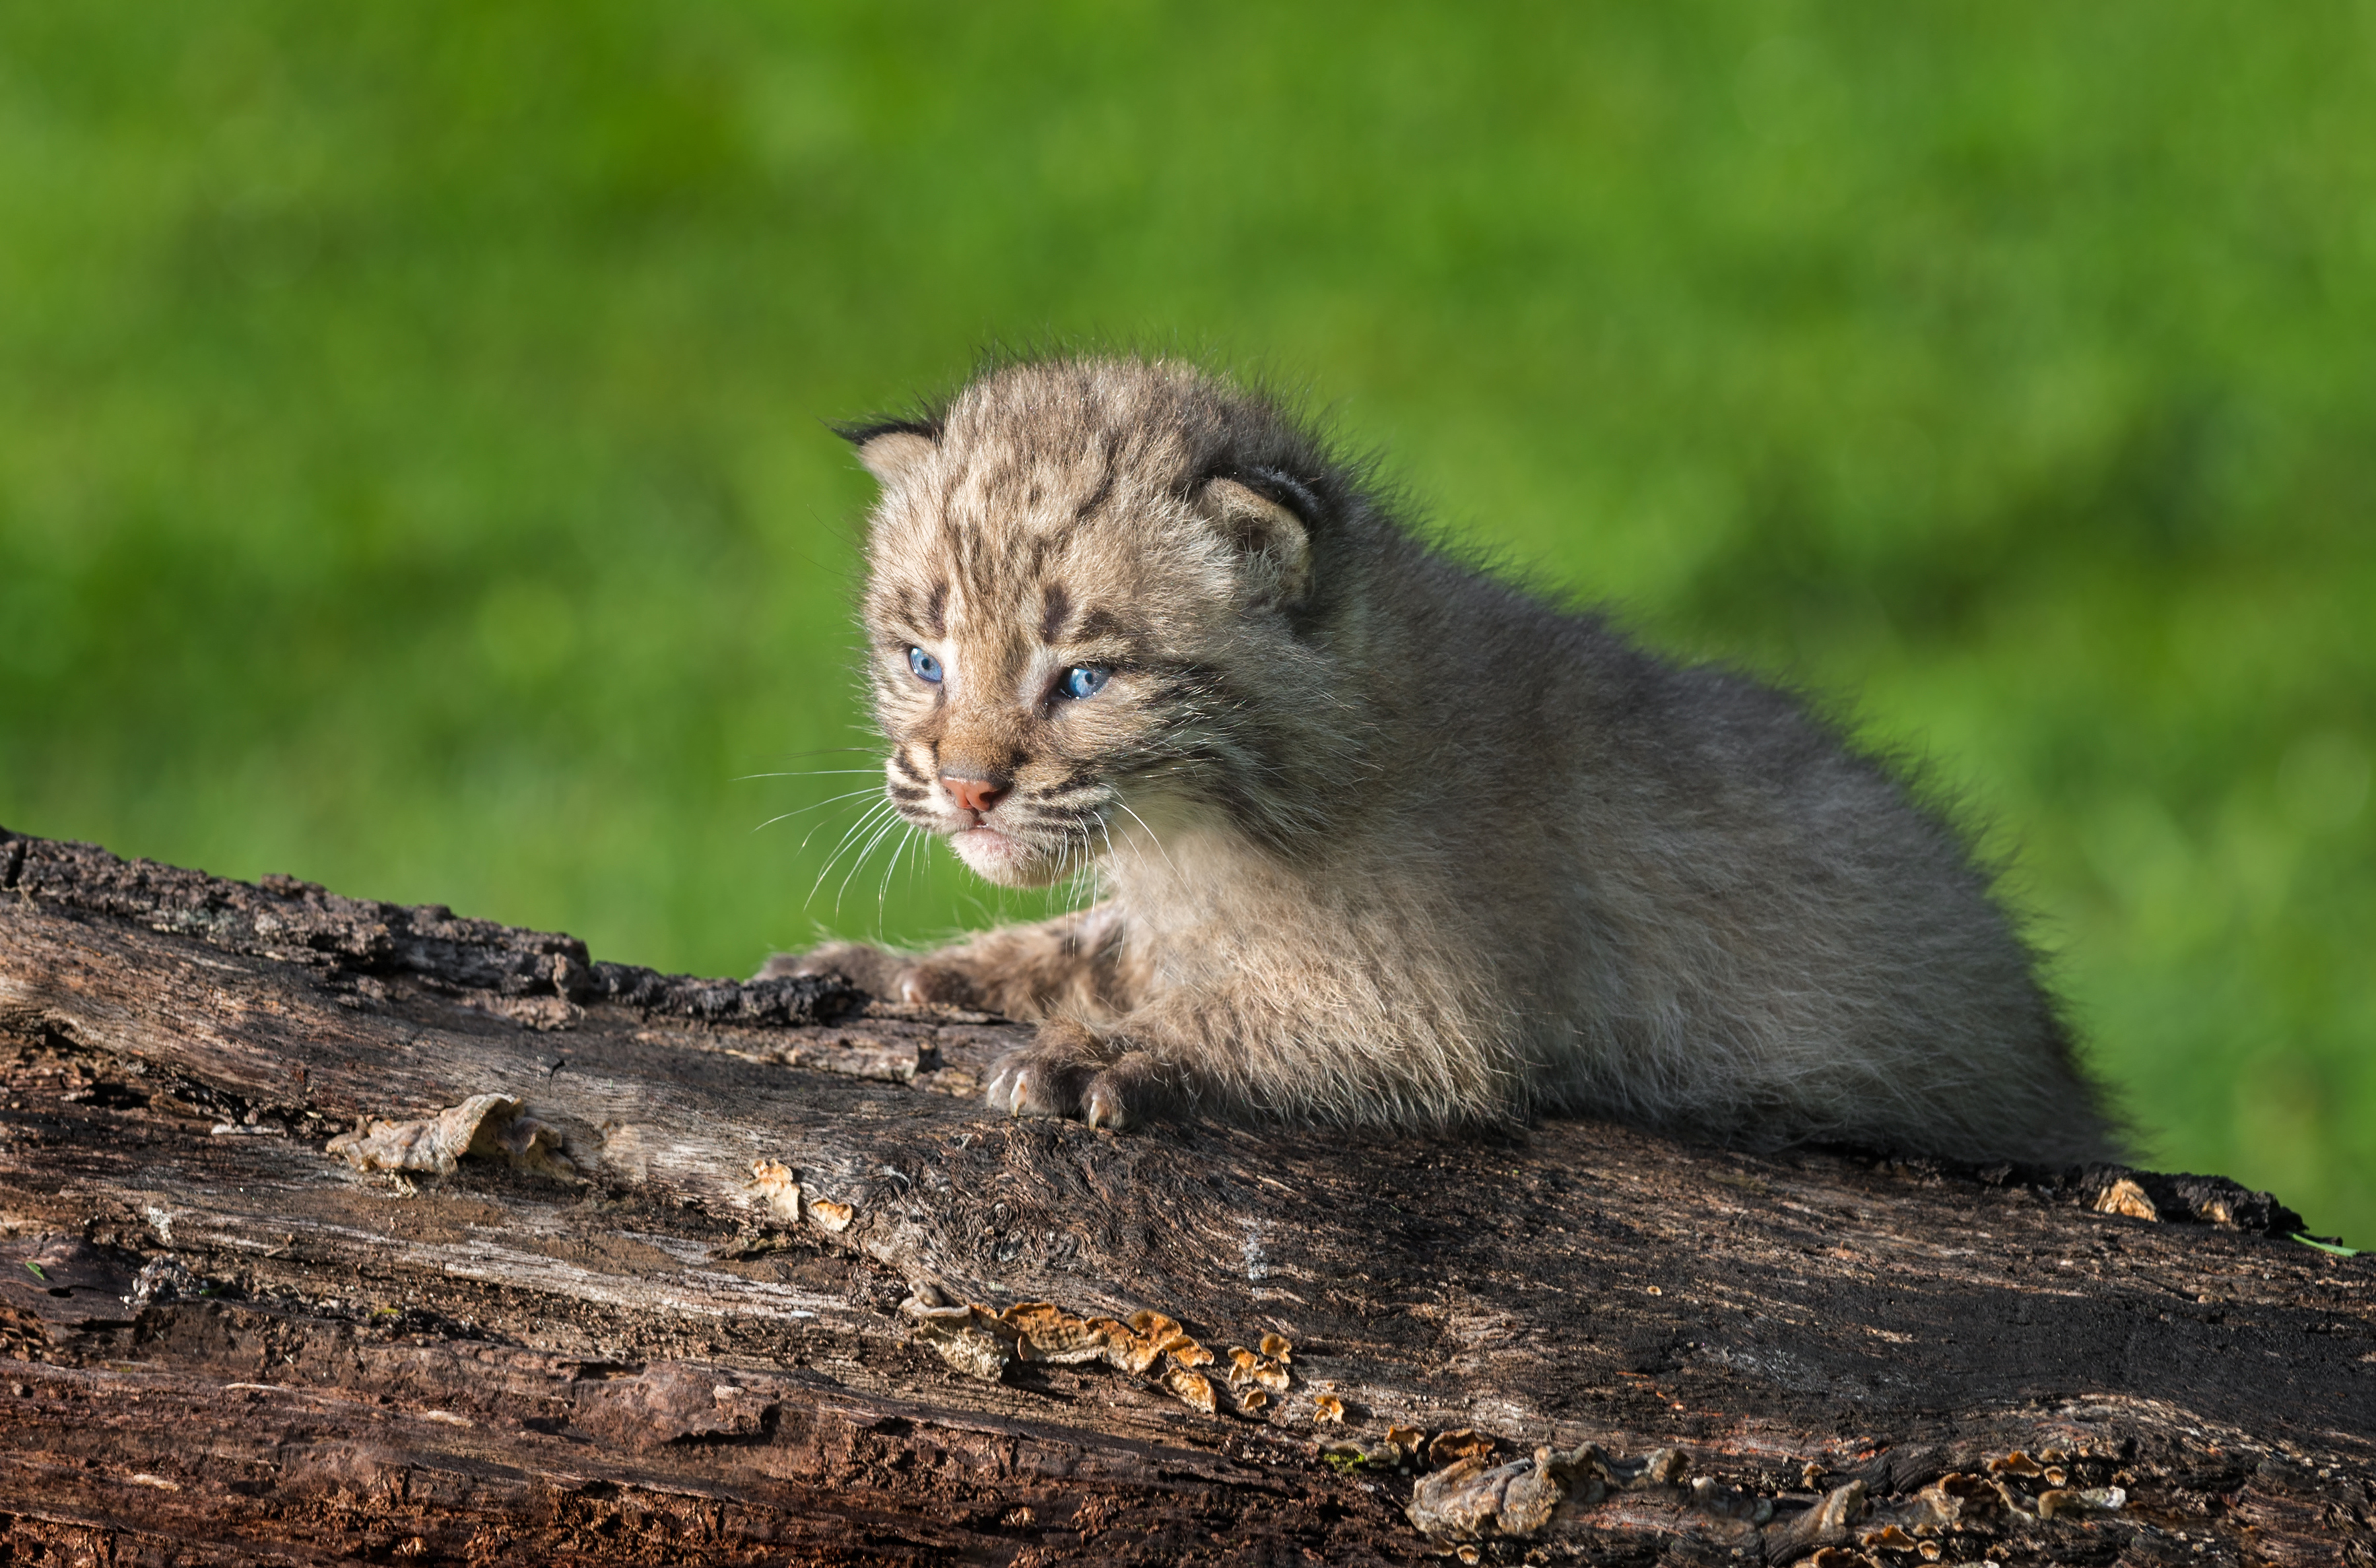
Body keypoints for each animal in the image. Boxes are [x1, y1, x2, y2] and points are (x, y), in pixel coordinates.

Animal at [774, 358, 2119, 1164]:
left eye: (1083, 682)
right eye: (925, 661)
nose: (965, 788)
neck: (1206, 821)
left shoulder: (1436, 1004)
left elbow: (1240, 1012)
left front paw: (1103, 1055)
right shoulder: (1167, 911)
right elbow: (1065, 948)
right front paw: (887, 971)